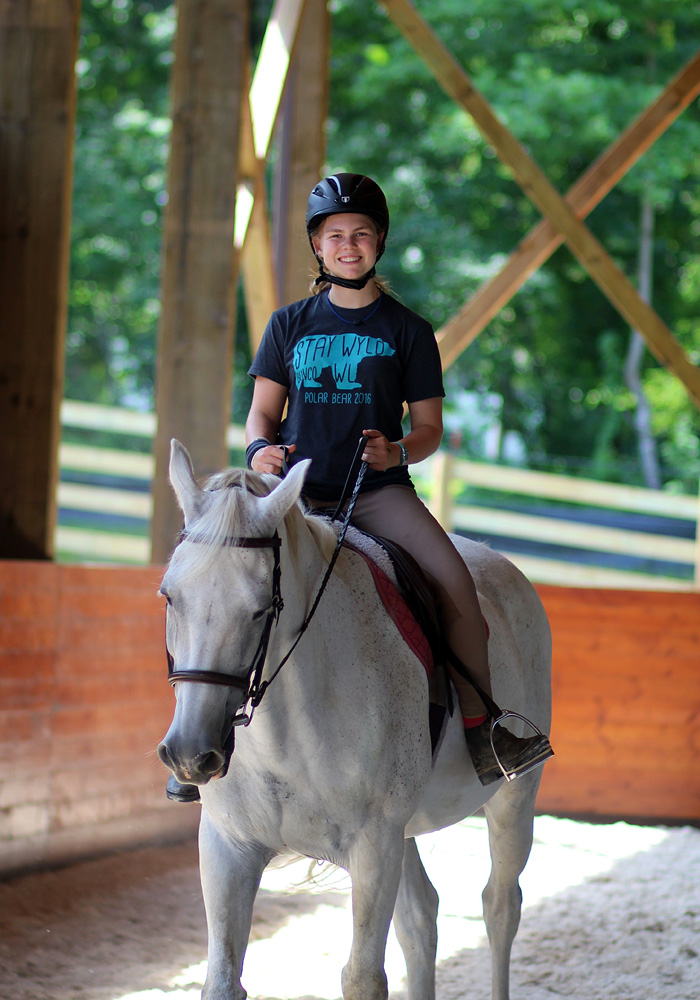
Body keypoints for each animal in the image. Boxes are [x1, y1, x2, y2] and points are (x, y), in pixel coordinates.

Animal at [159, 444, 552, 1000]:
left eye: (260, 609)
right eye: (170, 596)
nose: (191, 754)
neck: (286, 735)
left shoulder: (373, 848)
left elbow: (363, 977)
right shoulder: (228, 847)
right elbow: (221, 980)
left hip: (513, 798)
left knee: (500, 906)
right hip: (408, 829)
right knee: (421, 919)